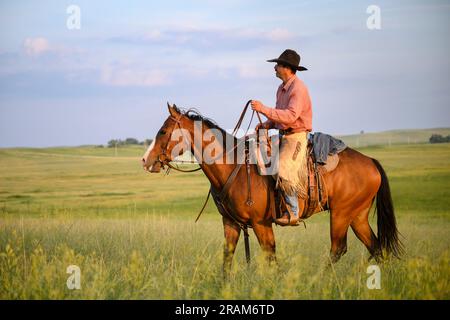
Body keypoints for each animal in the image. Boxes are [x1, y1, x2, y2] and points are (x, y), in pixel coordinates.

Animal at [142, 104, 402, 276]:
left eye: (163, 131)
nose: (145, 160)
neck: (233, 167)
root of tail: (371, 161)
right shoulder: (231, 223)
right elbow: (227, 257)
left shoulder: (261, 224)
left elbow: (270, 256)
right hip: (357, 216)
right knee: (376, 247)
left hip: (341, 214)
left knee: (339, 248)